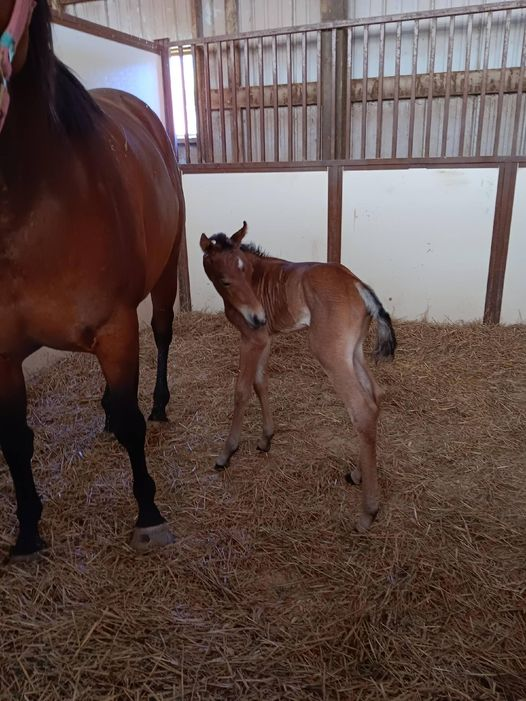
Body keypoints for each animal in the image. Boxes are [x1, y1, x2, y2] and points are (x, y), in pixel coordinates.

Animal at [0, 0, 185, 559]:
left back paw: (160, 403)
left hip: (165, 274)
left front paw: (148, 514)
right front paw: (28, 532)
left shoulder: (116, 327)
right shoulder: (2, 355)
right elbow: (15, 439)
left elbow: (132, 422)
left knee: (162, 334)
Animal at [200, 222, 396, 532]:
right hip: (354, 351)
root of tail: (357, 284)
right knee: (375, 395)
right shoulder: (265, 337)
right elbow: (260, 382)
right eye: (226, 280)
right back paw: (357, 474)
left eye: (246, 273)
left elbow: (242, 389)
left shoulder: (252, 337)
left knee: (362, 408)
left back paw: (368, 512)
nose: (259, 316)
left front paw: (226, 453)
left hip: (329, 352)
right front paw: (265, 439)